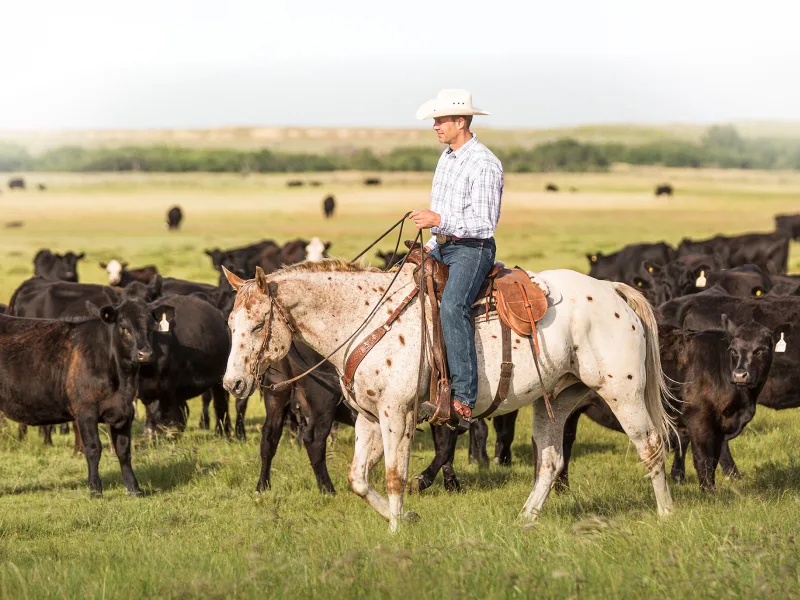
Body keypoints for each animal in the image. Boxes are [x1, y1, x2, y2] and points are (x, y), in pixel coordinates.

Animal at [0, 298, 173, 494]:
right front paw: (95, 489)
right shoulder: (86, 412)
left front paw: (134, 488)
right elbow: (93, 448)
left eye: (151, 327)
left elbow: (123, 450)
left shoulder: (125, 411)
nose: (145, 354)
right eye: (124, 327)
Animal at [223, 260, 676, 532]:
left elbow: (395, 474)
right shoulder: (369, 418)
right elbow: (358, 479)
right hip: (556, 401)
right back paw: (525, 518)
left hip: (623, 393)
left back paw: (666, 513)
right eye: (230, 323)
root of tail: (613, 290)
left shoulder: (398, 414)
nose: (232, 384)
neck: (366, 319)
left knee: (652, 447)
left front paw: (396, 530)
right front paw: (405, 516)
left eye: (259, 323)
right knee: (550, 461)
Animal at [560, 322, 780, 490]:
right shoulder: (700, 419)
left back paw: (563, 490)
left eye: (761, 349)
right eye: (733, 350)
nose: (740, 375)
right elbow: (704, 458)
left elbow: (713, 458)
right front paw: (709, 493)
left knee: (565, 445)